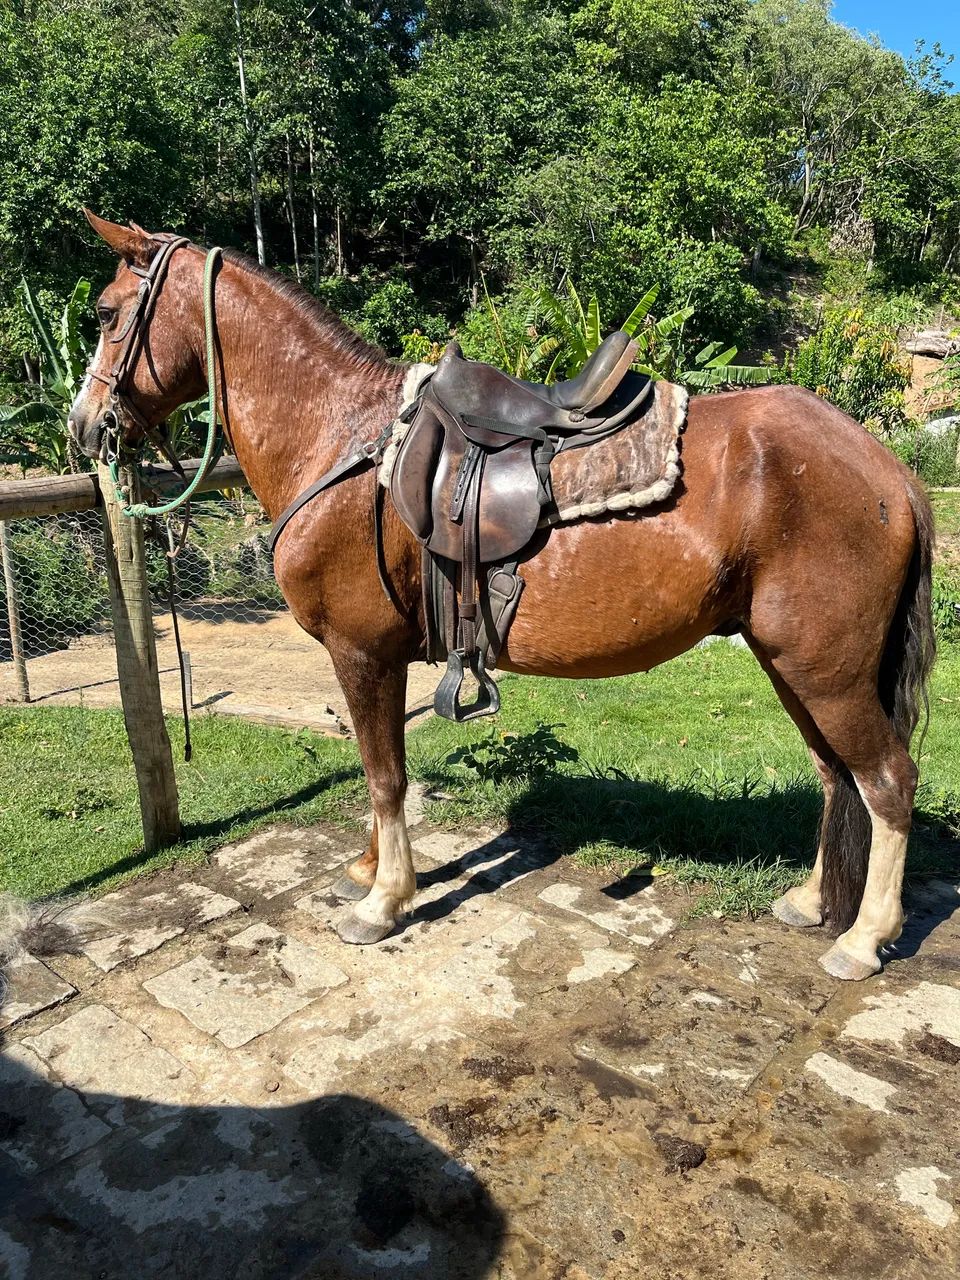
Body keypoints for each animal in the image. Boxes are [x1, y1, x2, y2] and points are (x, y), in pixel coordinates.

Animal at [67, 211, 936, 981]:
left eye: (106, 314)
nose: (82, 426)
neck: (343, 435)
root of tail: (890, 470)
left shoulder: (362, 653)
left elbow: (384, 776)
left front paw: (384, 901)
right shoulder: (376, 660)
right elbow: (379, 767)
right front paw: (369, 870)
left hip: (825, 669)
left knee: (888, 781)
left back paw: (863, 939)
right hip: (796, 664)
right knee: (837, 775)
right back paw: (813, 901)